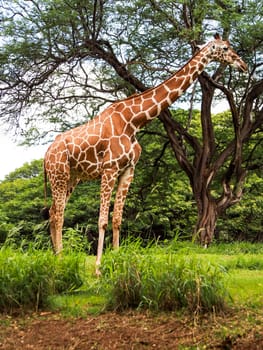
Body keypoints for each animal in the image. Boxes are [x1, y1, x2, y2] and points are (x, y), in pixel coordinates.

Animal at [43, 33, 248, 274]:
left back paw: (57, 259)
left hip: (71, 178)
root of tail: (46, 154)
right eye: (225, 48)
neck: (134, 122)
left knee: (53, 213)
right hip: (59, 174)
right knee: (58, 214)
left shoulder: (128, 170)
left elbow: (117, 219)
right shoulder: (109, 168)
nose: (243, 65)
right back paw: (59, 262)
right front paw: (98, 269)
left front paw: (118, 263)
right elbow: (102, 220)